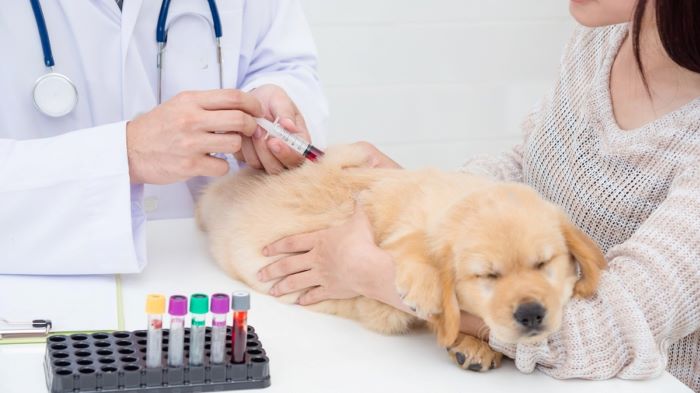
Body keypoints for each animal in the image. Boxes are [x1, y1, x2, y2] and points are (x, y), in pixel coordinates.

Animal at [197, 142, 608, 370]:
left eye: (543, 265)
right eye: (488, 277)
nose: (531, 314)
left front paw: (471, 343)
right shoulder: (381, 300)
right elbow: (413, 246)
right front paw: (431, 296)